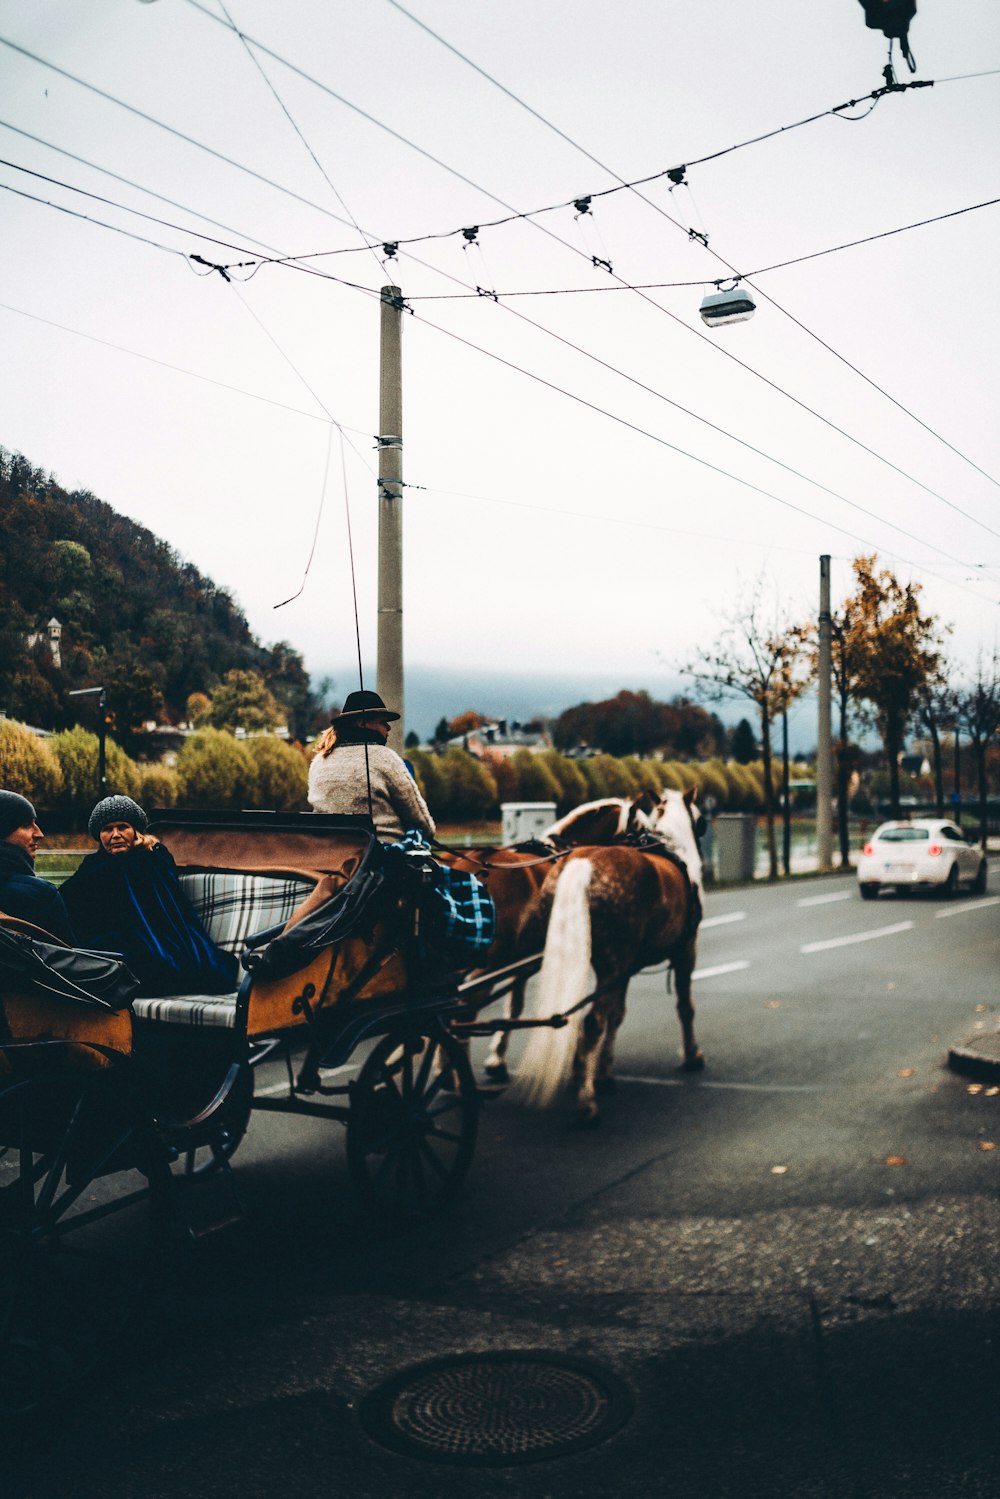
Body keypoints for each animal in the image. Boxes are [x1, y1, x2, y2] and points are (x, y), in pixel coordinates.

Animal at [515, 785, 704, 1127]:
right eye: (701, 821)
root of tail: (583, 863)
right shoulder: (686, 950)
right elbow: (685, 1006)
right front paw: (692, 1055)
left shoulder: (625, 968)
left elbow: (617, 1015)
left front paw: (602, 1072)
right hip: (614, 962)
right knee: (593, 1022)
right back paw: (586, 1104)